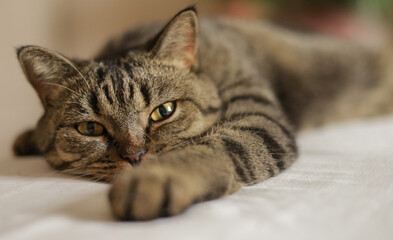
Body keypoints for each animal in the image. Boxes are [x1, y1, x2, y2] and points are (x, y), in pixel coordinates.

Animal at [12, 6, 392, 220]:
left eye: (163, 112)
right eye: (90, 129)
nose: (135, 156)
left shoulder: (259, 119)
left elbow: (213, 147)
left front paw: (157, 179)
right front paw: (28, 138)